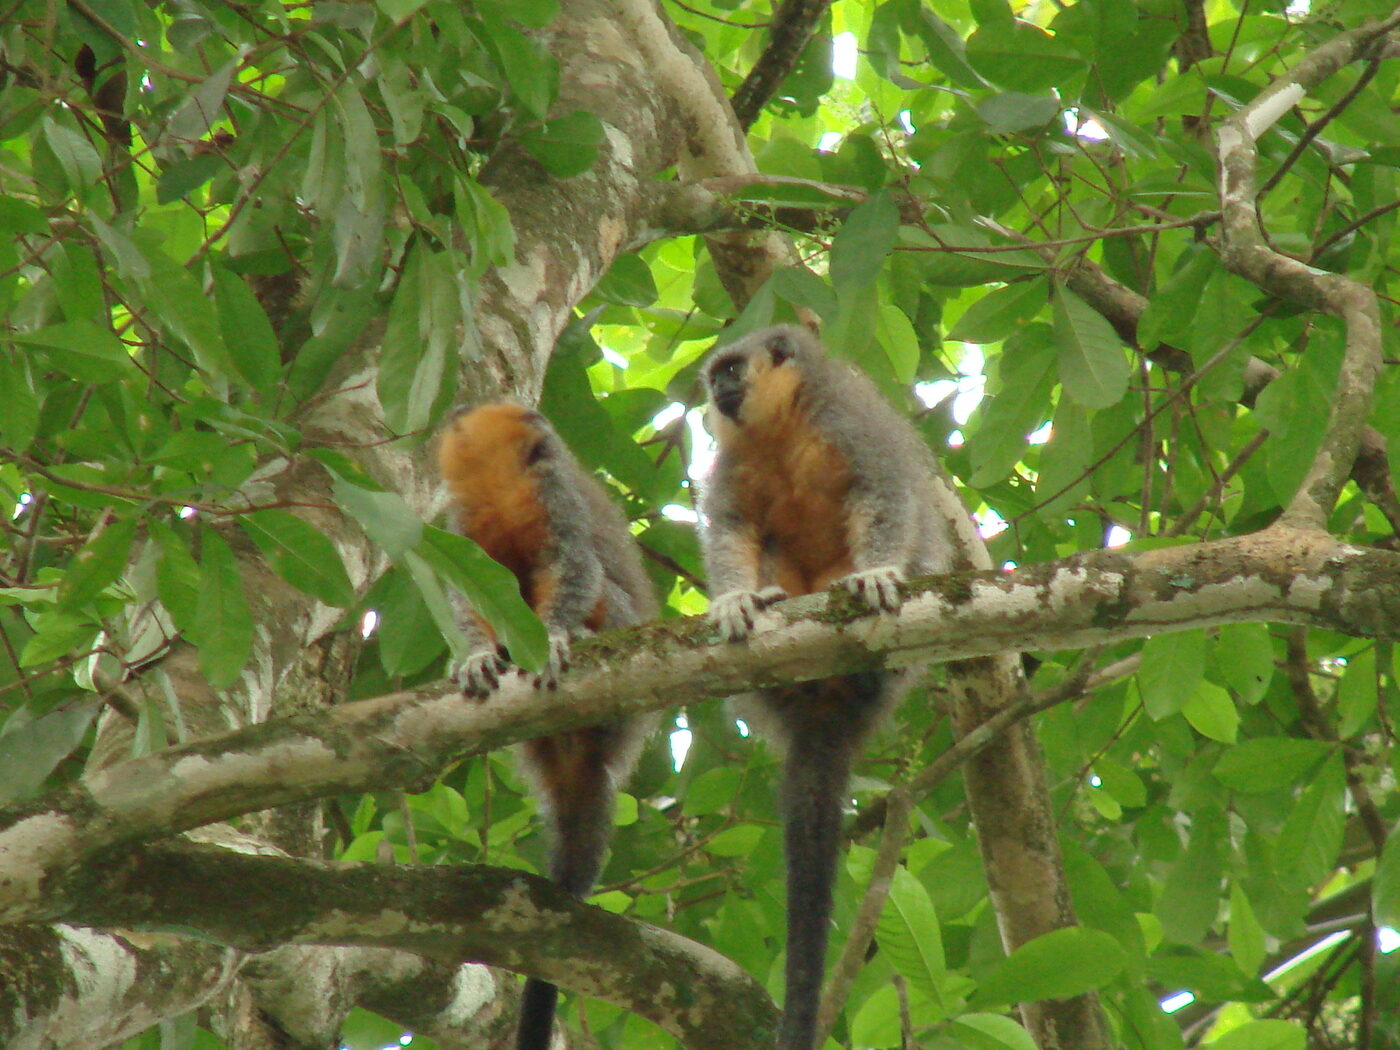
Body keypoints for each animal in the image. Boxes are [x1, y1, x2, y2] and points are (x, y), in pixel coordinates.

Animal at [437, 402, 658, 1050]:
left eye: (545, 445)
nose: (546, 432)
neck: (500, 487)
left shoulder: (557, 496)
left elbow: (576, 567)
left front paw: (558, 635)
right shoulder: (460, 523)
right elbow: (472, 595)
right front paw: (477, 656)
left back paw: (584, 636)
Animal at [699, 325, 961, 1050]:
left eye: (731, 370)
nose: (716, 392)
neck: (783, 430)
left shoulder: (852, 421)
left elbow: (891, 495)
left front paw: (877, 575)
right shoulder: (731, 466)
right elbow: (732, 529)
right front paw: (735, 600)